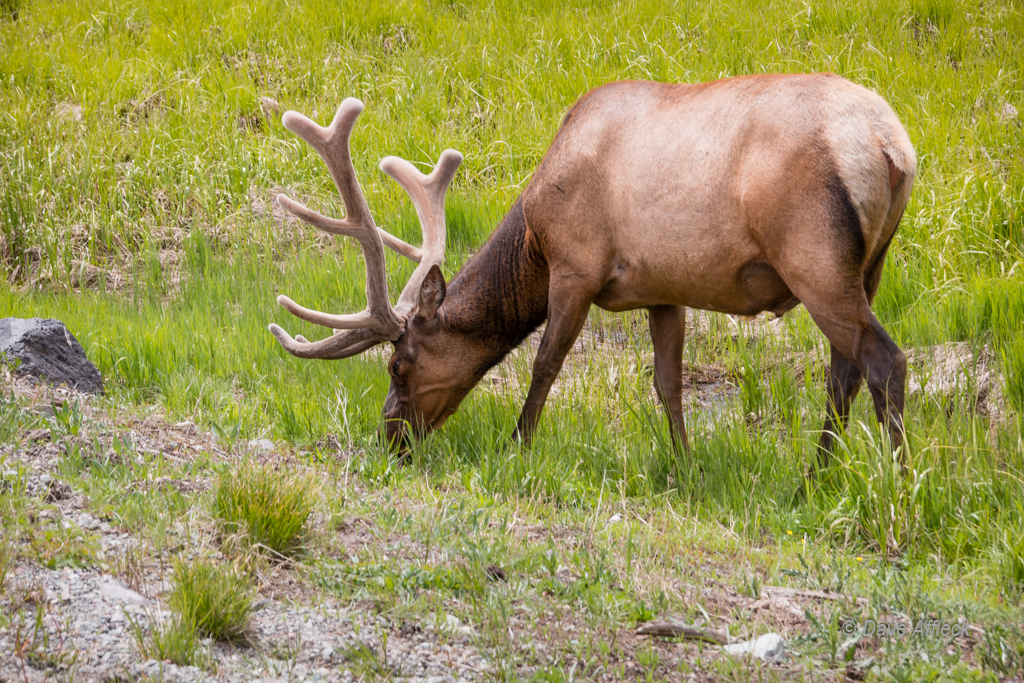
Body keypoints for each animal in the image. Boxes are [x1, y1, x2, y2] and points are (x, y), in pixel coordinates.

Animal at [268, 73, 917, 464]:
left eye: (400, 366)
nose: (392, 435)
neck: (533, 237)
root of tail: (895, 148)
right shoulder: (664, 287)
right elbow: (667, 382)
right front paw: (683, 465)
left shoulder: (576, 265)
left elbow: (544, 363)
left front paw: (517, 446)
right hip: (870, 265)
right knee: (843, 371)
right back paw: (817, 475)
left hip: (814, 259)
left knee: (884, 359)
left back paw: (895, 483)